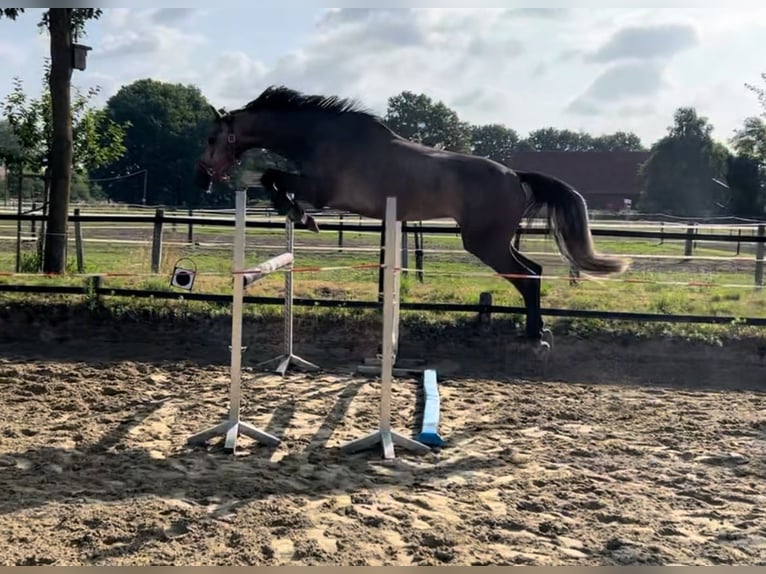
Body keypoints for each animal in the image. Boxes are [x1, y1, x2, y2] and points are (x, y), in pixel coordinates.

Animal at [194, 84, 632, 360]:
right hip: (495, 241)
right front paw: (298, 216)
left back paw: (535, 339)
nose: (202, 178)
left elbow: (273, 179)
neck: (319, 136)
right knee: (534, 272)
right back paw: (536, 333)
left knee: (526, 277)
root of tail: (515, 175)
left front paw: (300, 216)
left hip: (483, 243)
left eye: (213, 139)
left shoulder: (321, 191)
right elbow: (273, 180)